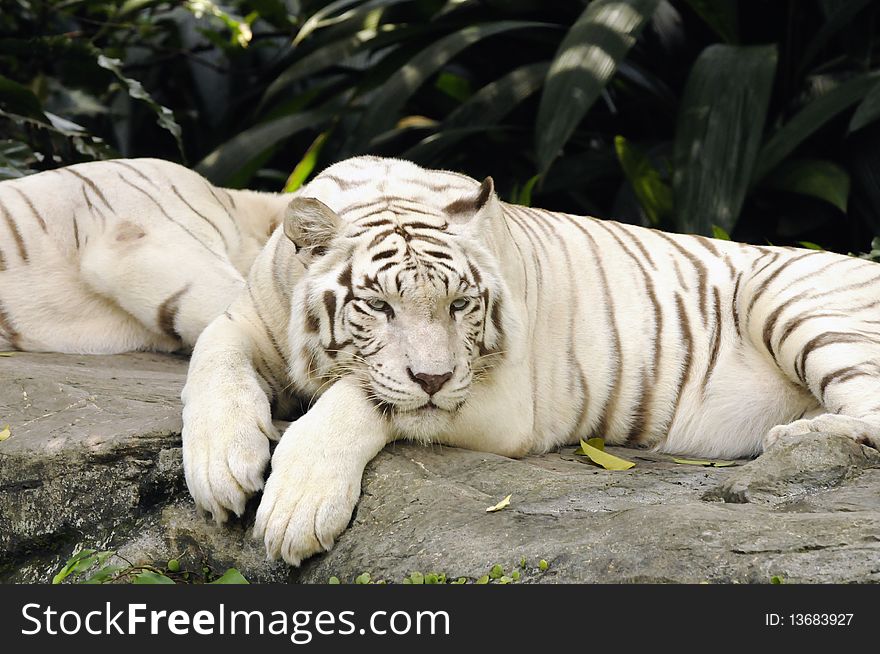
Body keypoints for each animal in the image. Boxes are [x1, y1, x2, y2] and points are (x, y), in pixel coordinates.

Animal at [182, 155, 880, 568]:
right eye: (378, 305)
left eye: (460, 303)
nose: (434, 377)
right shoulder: (245, 318)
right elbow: (210, 363)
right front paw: (222, 469)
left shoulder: (500, 399)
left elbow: (359, 398)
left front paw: (294, 509)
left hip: (789, 299)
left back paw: (797, 435)